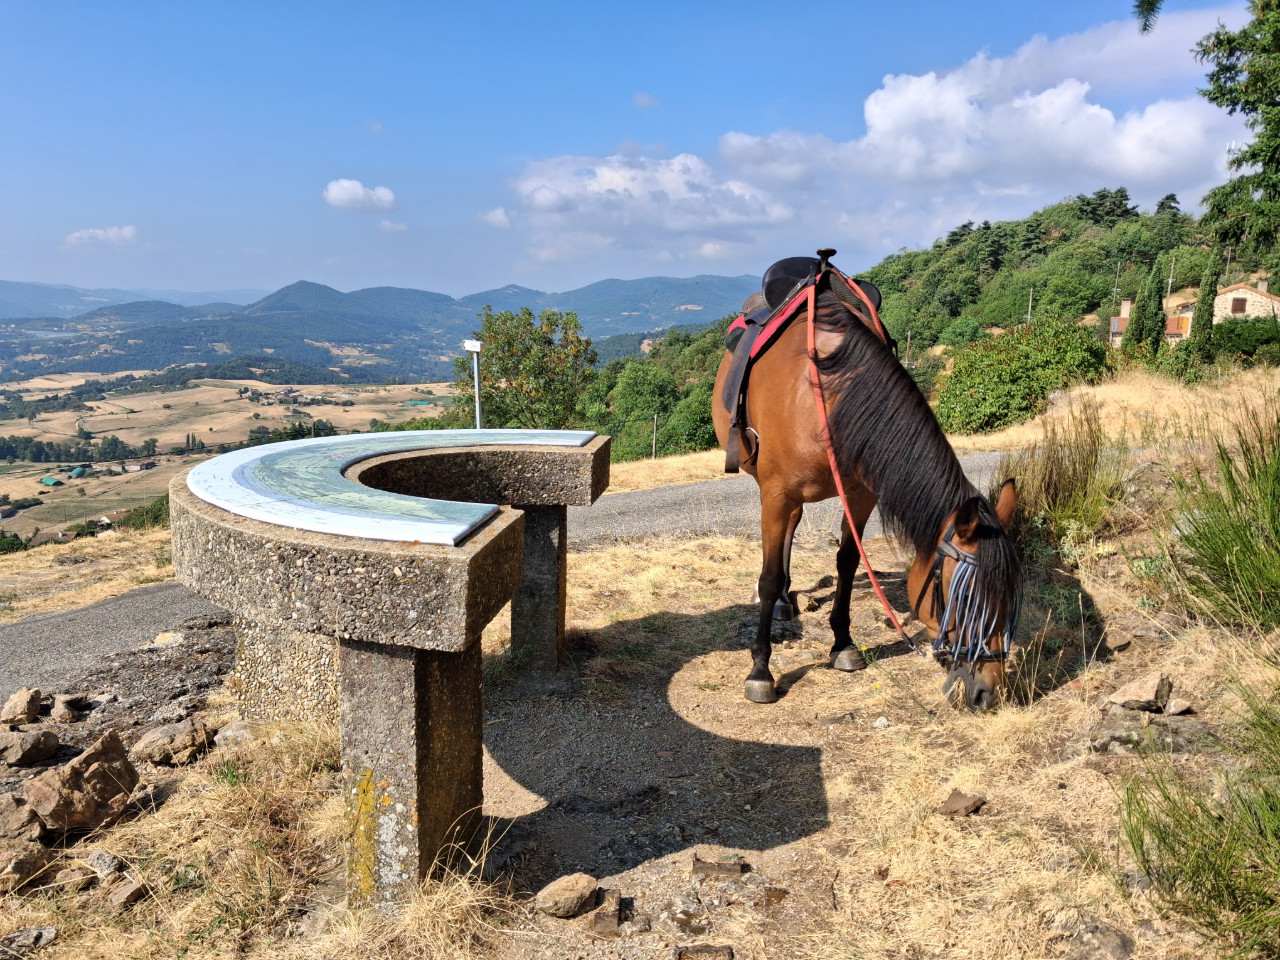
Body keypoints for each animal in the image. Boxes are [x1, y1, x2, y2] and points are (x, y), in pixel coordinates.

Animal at [711, 253, 1022, 710]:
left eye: (1009, 597)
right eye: (963, 597)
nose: (988, 692)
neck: (827, 394)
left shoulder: (860, 495)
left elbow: (847, 562)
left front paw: (842, 644)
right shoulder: (776, 491)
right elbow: (766, 578)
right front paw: (760, 670)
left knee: (794, 527)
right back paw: (782, 601)